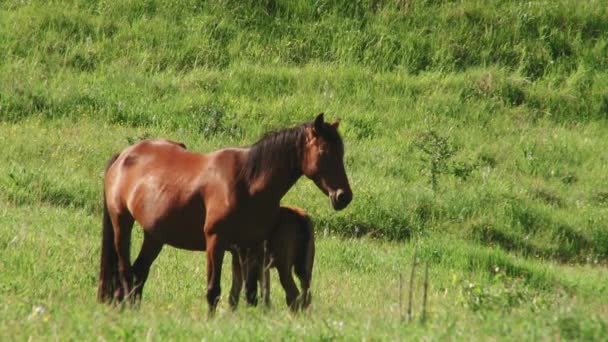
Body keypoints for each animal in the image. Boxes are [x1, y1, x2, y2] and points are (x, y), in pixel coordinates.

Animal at [97, 113, 350, 312]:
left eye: (341, 153)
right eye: (324, 151)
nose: (344, 196)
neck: (248, 182)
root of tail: (123, 156)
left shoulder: (252, 246)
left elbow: (250, 294)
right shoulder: (215, 242)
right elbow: (213, 290)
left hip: (154, 235)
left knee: (139, 273)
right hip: (122, 223)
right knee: (125, 272)